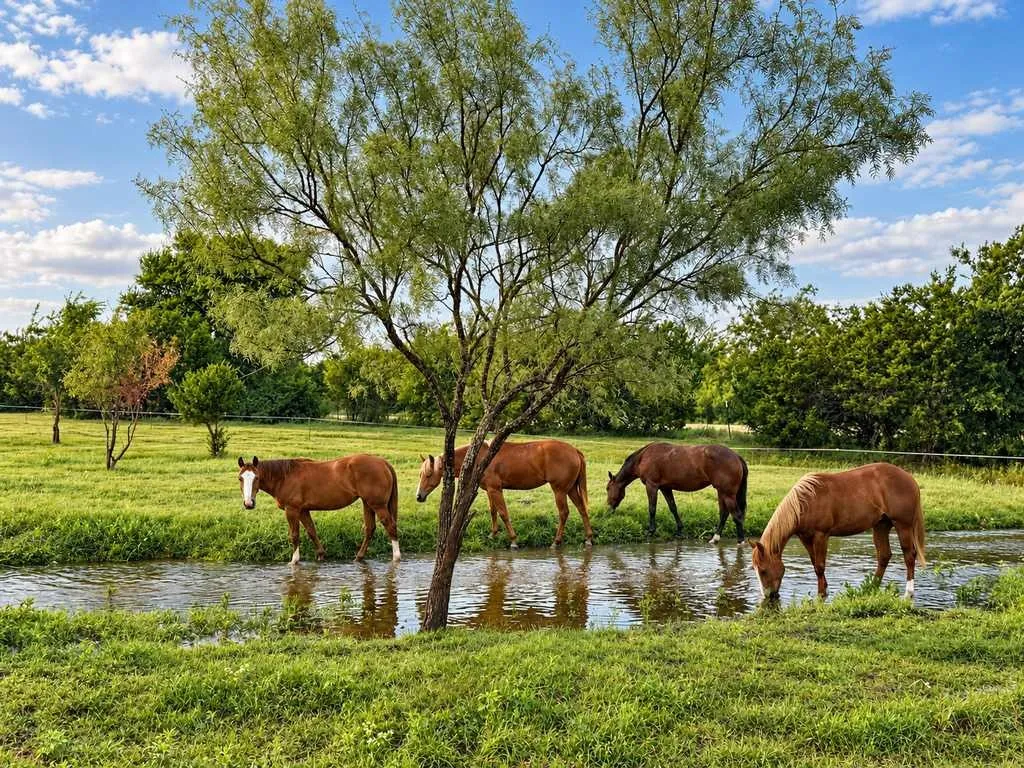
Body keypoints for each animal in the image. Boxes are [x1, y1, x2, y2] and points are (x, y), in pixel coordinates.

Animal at [237, 454, 400, 564]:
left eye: (257, 477)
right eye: (240, 478)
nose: (248, 503)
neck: (284, 477)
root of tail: (383, 462)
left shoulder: (292, 510)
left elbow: (294, 535)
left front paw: (294, 560)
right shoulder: (303, 510)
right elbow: (311, 531)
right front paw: (321, 555)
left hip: (378, 505)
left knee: (390, 526)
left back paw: (396, 557)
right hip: (367, 503)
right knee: (370, 529)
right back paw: (359, 557)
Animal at [416, 439, 593, 548]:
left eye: (428, 474)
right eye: (421, 474)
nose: (419, 496)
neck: (481, 457)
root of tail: (574, 450)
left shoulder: (496, 490)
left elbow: (503, 513)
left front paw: (513, 540)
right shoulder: (490, 490)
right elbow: (493, 511)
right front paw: (493, 534)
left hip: (560, 490)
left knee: (564, 513)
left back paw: (556, 542)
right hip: (570, 489)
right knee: (582, 509)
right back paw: (588, 538)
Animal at [606, 443, 748, 544]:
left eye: (607, 488)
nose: (608, 509)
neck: (644, 457)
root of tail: (736, 456)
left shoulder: (652, 486)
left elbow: (652, 508)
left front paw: (651, 531)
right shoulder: (665, 488)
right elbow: (673, 507)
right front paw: (679, 530)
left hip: (727, 494)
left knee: (737, 515)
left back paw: (740, 541)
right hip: (721, 492)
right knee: (724, 514)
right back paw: (715, 538)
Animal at [748, 462, 926, 601]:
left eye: (763, 571)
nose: (768, 596)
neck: (806, 502)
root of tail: (909, 478)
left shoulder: (821, 535)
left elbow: (820, 566)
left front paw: (821, 594)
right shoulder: (805, 537)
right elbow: (814, 563)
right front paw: (825, 589)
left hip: (903, 525)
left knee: (909, 556)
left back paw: (908, 593)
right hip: (881, 525)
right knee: (884, 556)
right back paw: (871, 587)